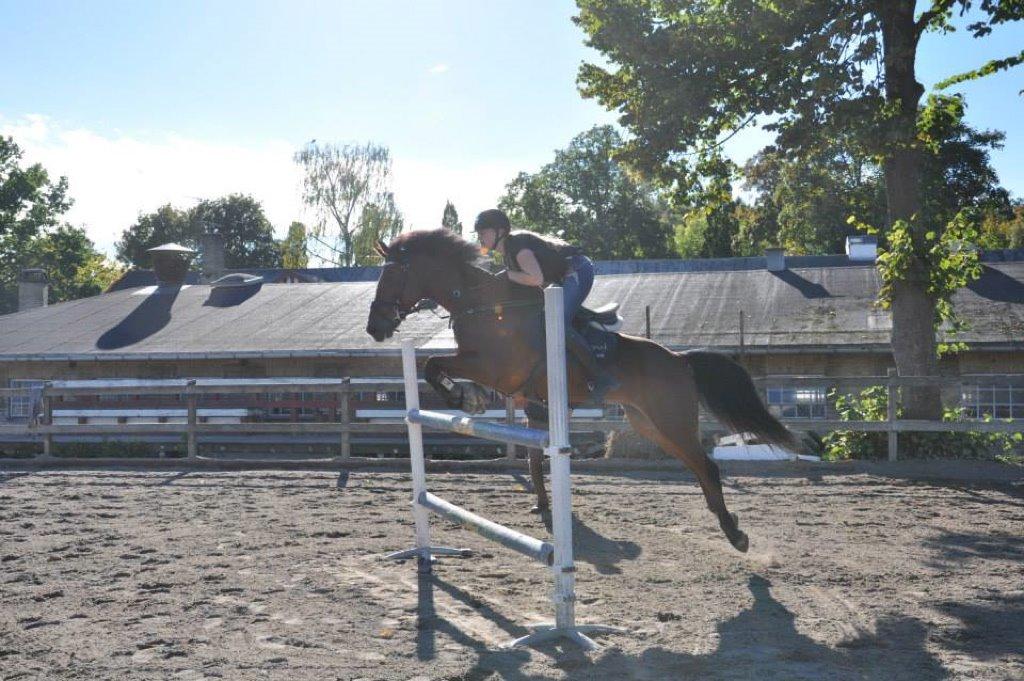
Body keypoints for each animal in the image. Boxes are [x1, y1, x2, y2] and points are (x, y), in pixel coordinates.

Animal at [366, 228, 798, 552]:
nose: (375, 328)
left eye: (393, 276)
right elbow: (440, 370)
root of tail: (679, 359)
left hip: (671, 420)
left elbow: (433, 365)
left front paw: (461, 398)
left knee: (707, 465)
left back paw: (736, 534)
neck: (483, 305)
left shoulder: (495, 368)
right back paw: (729, 524)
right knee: (697, 466)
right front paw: (468, 398)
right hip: (649, 424)